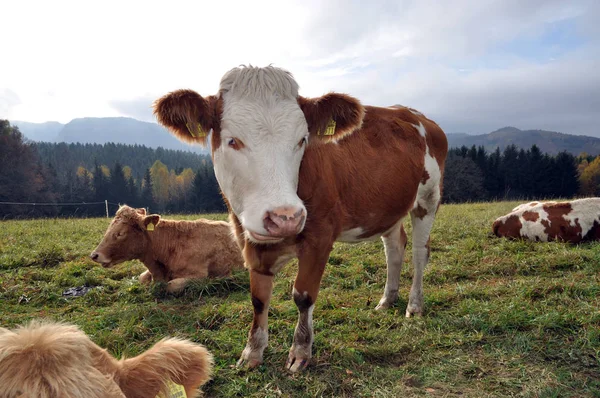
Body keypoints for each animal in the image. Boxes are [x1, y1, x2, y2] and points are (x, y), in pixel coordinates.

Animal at [152, 65, 448, 374]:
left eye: (302, 140)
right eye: (232, 140)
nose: (286, 218)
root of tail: (414, 114)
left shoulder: (320, 238)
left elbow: (303, 295)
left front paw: (300, 352)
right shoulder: (249, 239)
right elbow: (259, 299)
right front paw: (252, 352)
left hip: (428, 199)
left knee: (419, 252)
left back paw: (414, 306)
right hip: (388, 207)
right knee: (394, 248)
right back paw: (387, 300)